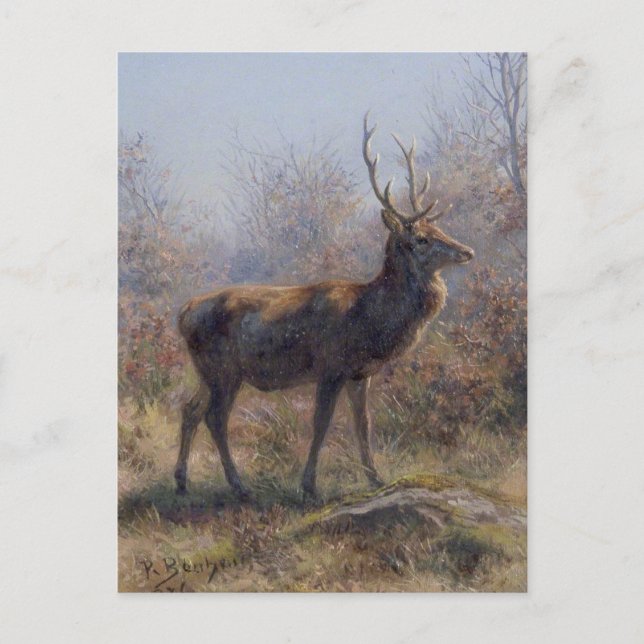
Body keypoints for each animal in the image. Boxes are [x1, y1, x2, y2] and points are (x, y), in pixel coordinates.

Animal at [174, 113, 474, 503]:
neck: (372, 319)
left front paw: (375, 478)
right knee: (215, 417)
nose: (467, 251)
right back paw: (239, 486)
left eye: (438, 228)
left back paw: (182, 481)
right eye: (421, 239)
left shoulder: (361, 373)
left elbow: (363, 424)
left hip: (207, 371)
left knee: (190, 409)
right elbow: (321, 424)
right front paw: (309, 487)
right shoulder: (331, 366)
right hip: (224, 369)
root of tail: (184, 313)